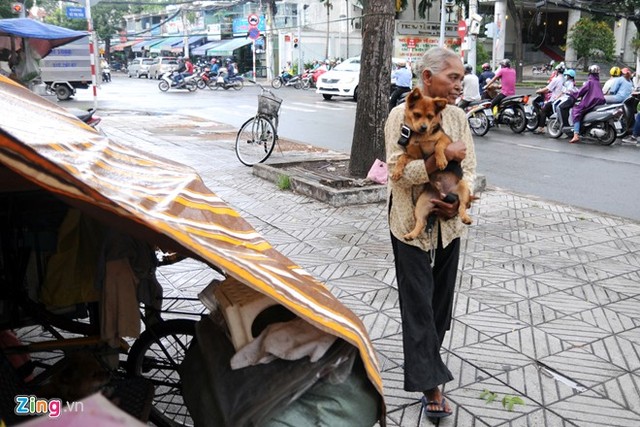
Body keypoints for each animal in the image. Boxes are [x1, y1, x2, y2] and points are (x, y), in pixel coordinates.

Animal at [390, 87, 476, 241]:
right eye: (417, 114)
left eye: (430, 117)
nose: (424, 127)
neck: (421, 136)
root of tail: (444, 193)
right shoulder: (414, 156)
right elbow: (402, 158)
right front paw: (397, 171)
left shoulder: (446, 140)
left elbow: (439, 146)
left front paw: (441, 160)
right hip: (422, 205)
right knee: (420, 222)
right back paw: (411, 235)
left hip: (463, 189)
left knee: (462, 207)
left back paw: (466, 218)